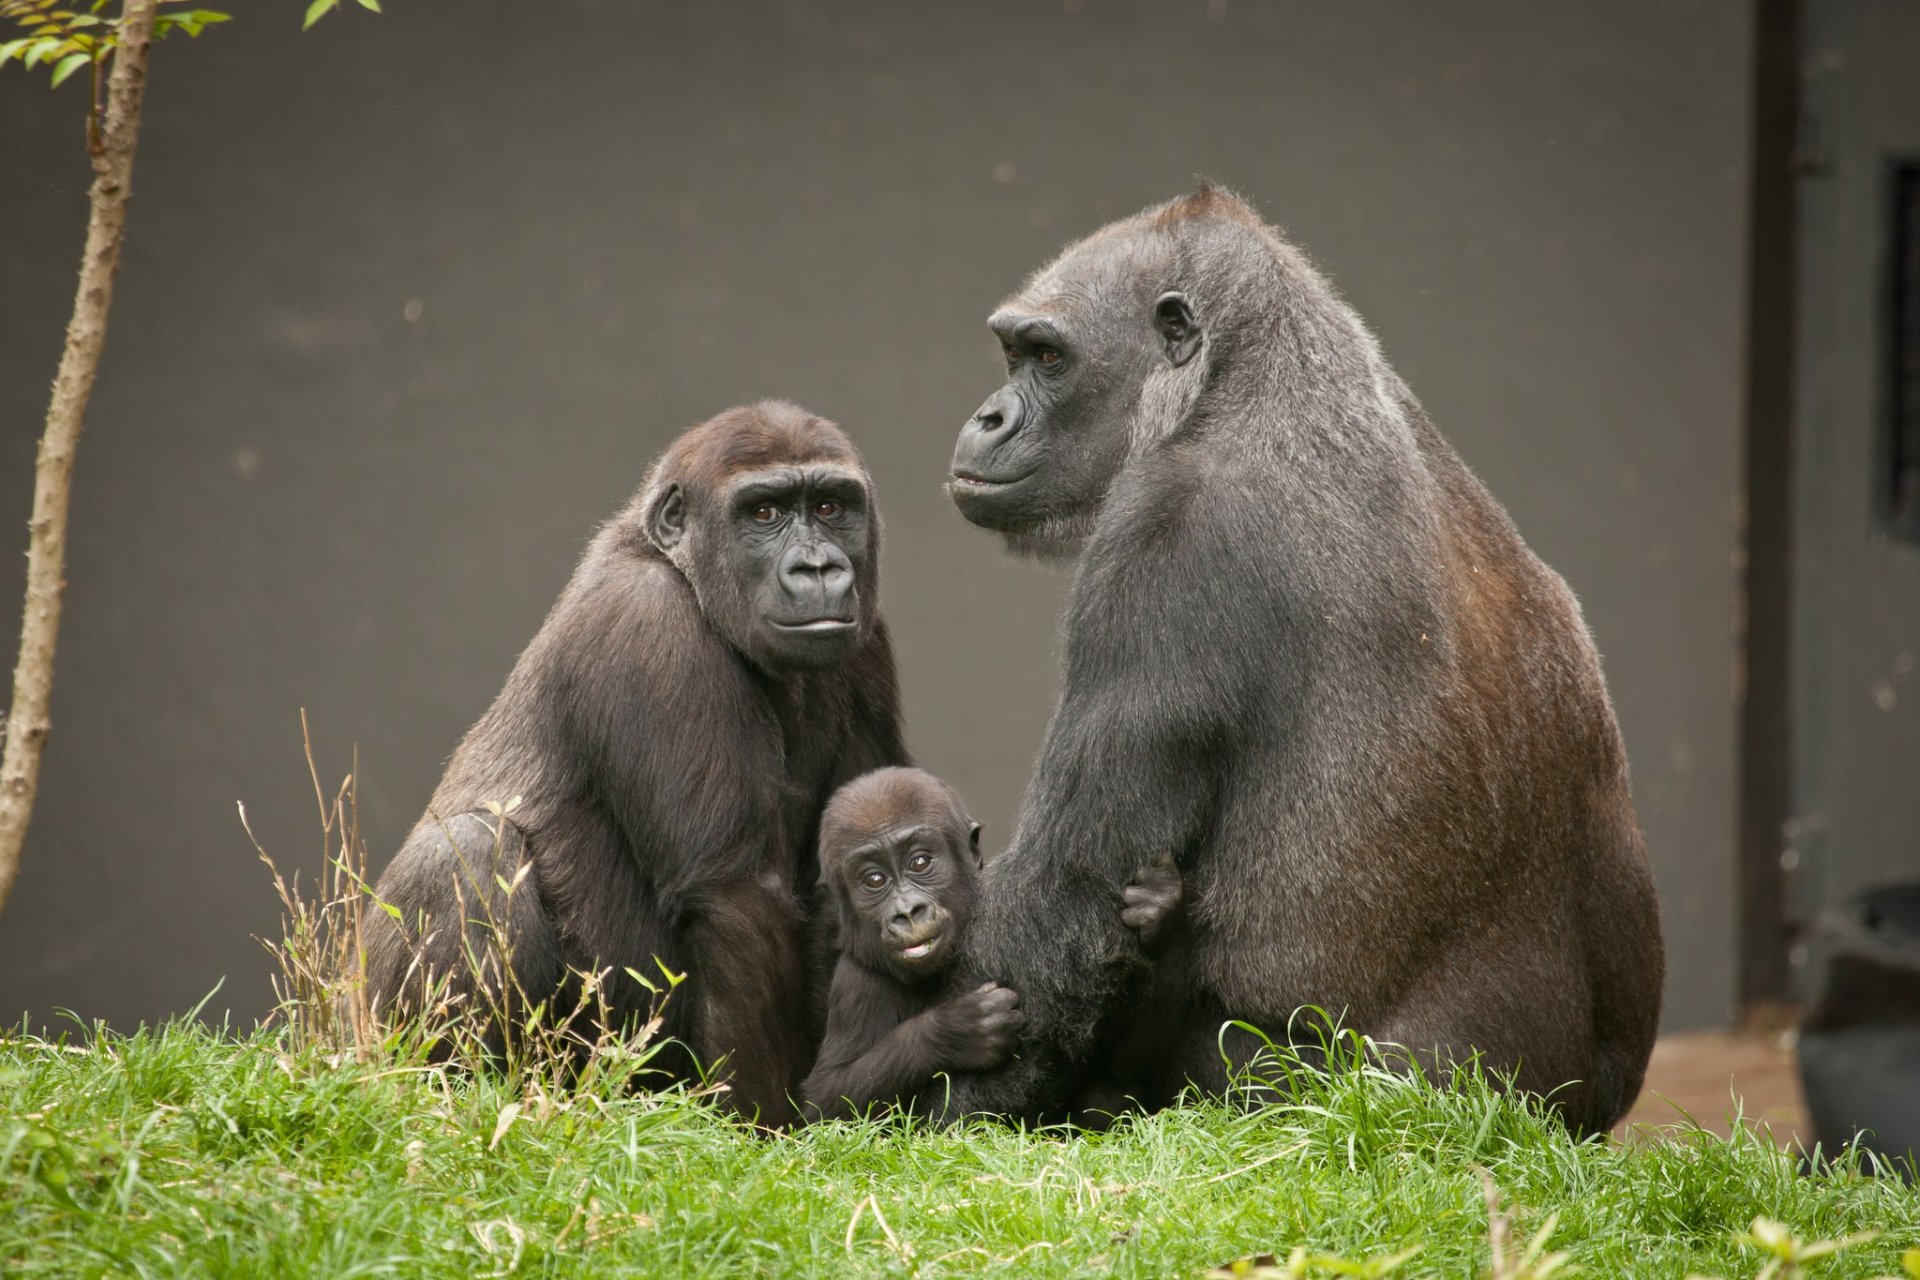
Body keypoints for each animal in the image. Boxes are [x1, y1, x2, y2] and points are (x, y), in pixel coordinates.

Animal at [363, 401, 908, 1125]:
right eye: (763, 513)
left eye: (828, 506)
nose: (817, 569)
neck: (677, 565)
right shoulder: (649, 623)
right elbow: (735, 895)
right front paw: (762, 1124)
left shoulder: (867, 636)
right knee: (465, 852)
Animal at [800, 767, 1182, 1122]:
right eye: (874, 880)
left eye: (920, 862)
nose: (908, 912)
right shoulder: (856, 982)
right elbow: (828, 1101)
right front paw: (952, 1031)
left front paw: (1159, 909)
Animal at [937, 185, 1664, 1136]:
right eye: (1013, 352)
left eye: (1048, 358)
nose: (987, 417)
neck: (1244, 377)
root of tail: (1551, 1120)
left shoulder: (1168, 535)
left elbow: (1064, 909)